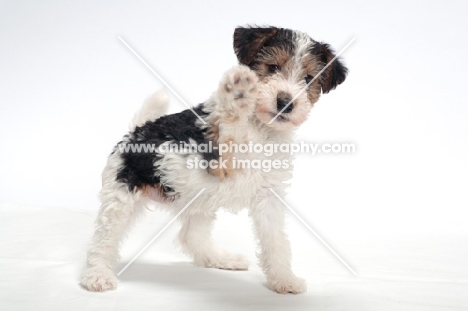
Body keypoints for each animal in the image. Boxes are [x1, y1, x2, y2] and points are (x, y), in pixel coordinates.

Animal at [81, 26, 348, 294]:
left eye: (309, 78)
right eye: (272, 67)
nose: (285, 103)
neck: (262, 129)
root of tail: (135, 131)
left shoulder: (269, 195)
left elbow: (277, 242)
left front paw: (284, 280)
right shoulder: (218, 159)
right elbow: (231, 125)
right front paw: (239, 93)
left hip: (198, 201)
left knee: (191, 237)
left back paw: (221, 259)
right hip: (121, 198)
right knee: (102, 241)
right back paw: (97, 276)